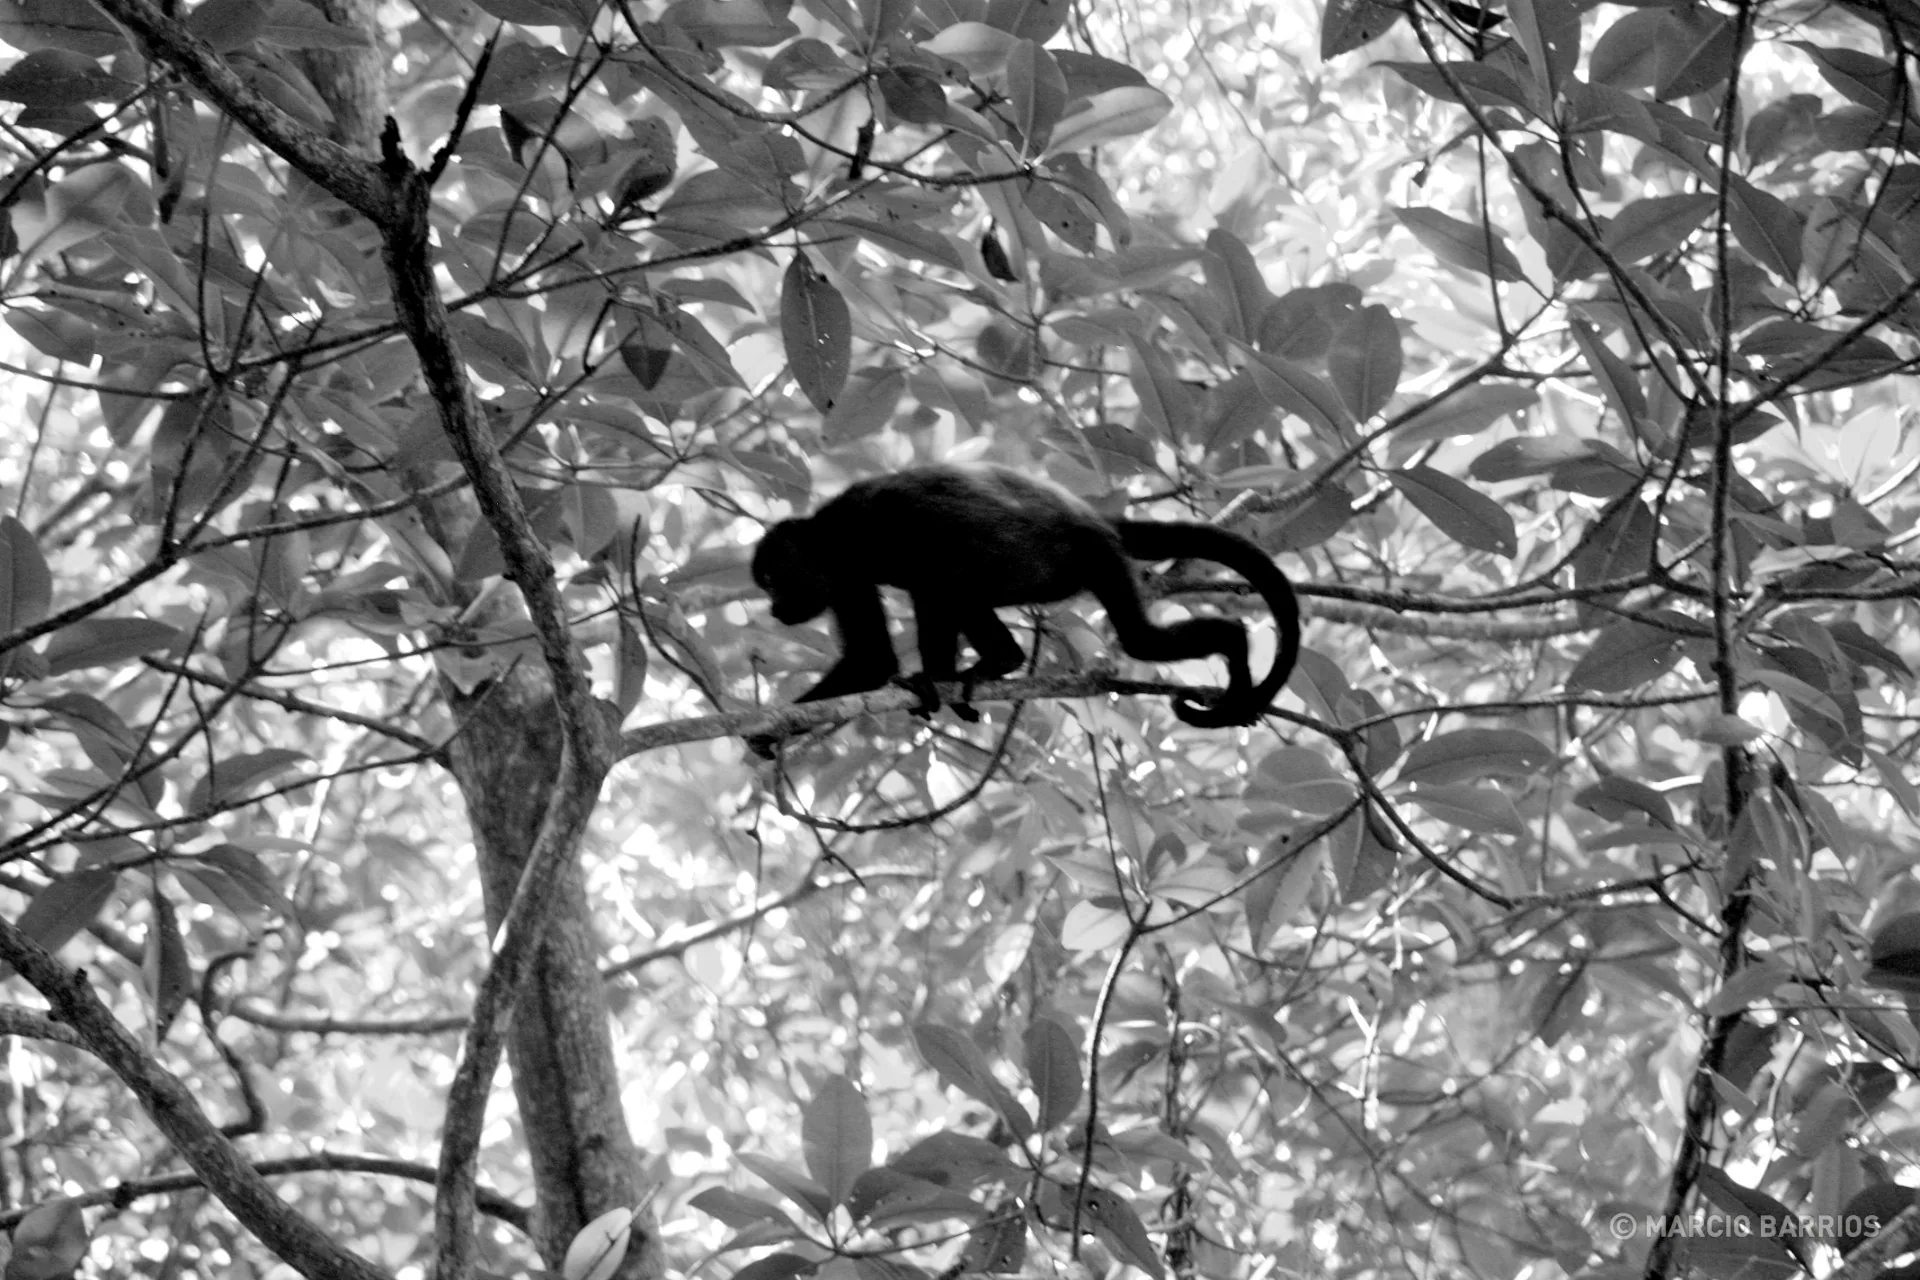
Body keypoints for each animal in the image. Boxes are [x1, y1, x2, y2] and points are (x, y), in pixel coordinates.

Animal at [750, 464, 1300, 728]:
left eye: (772, 580)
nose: (774, 610)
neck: (832, 537)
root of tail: (1090, 516)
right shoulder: (844, 579)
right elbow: (869, 658)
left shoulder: (873, 524)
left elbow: (935, 571)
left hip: (1085, 557)